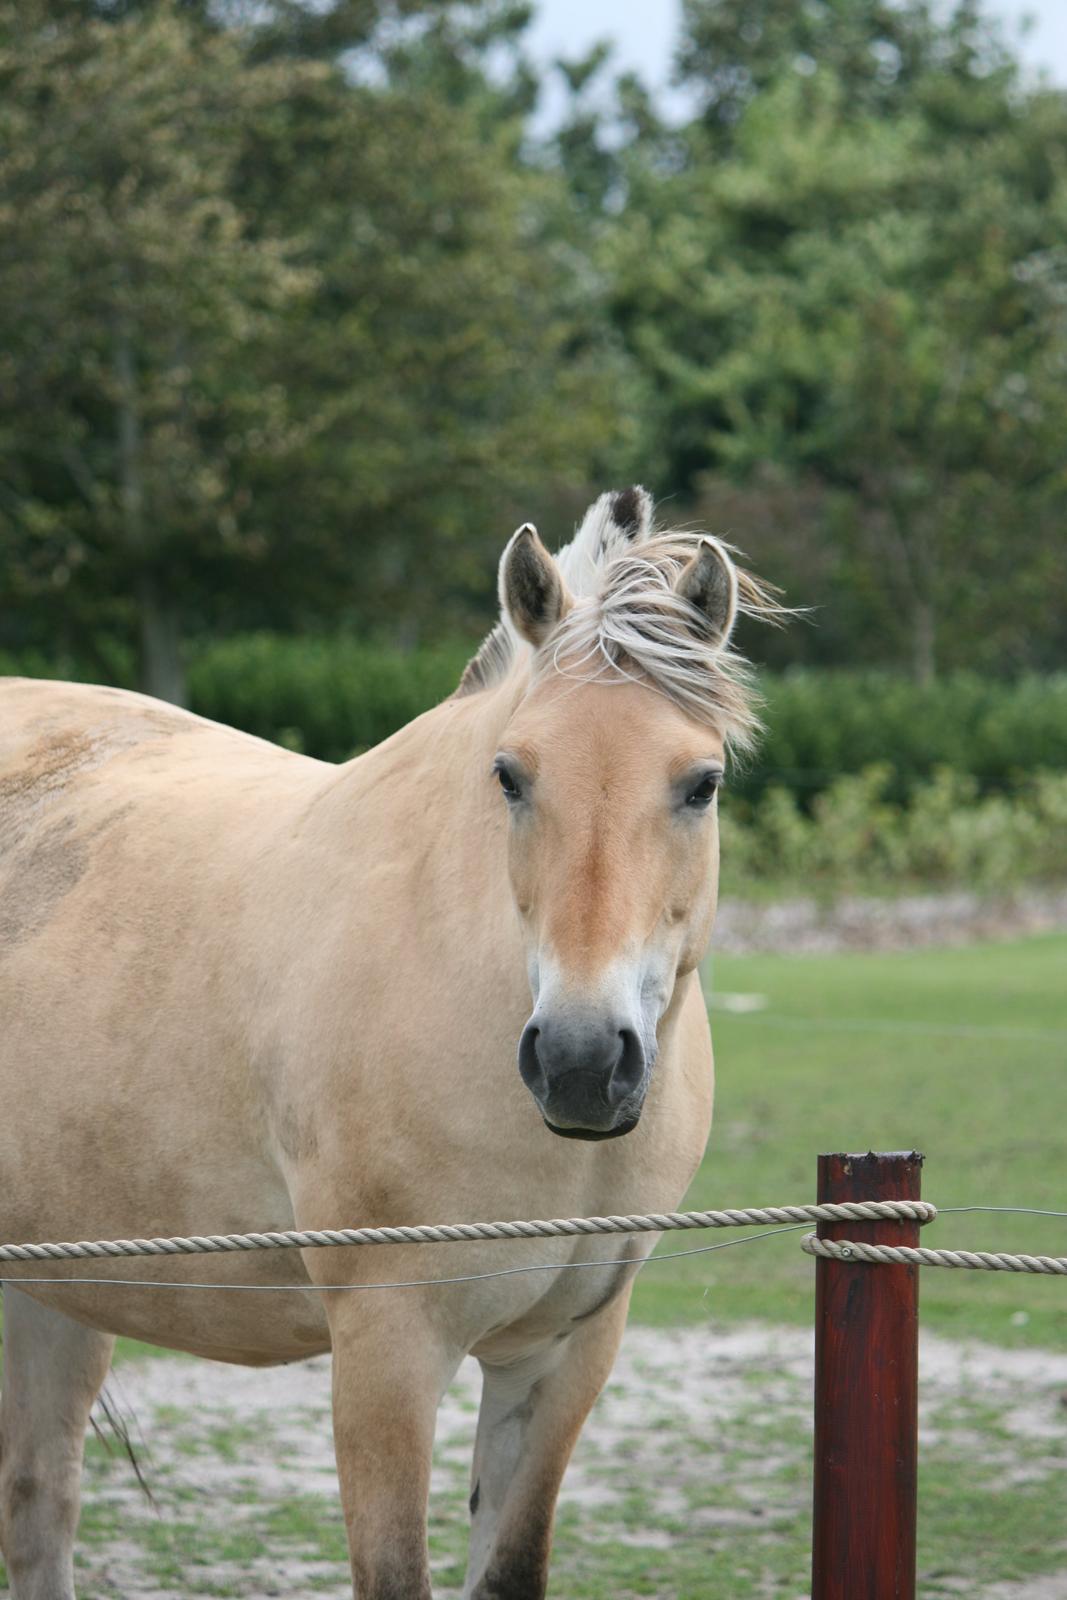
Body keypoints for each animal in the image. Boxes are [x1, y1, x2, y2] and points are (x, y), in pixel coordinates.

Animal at [2, 489, 783, 1600]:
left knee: (39, 1500)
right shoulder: (387, 1349)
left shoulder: (562, 1356)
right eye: (510, 775)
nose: (582, 1062)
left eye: (700, 783)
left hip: (56, 1286)